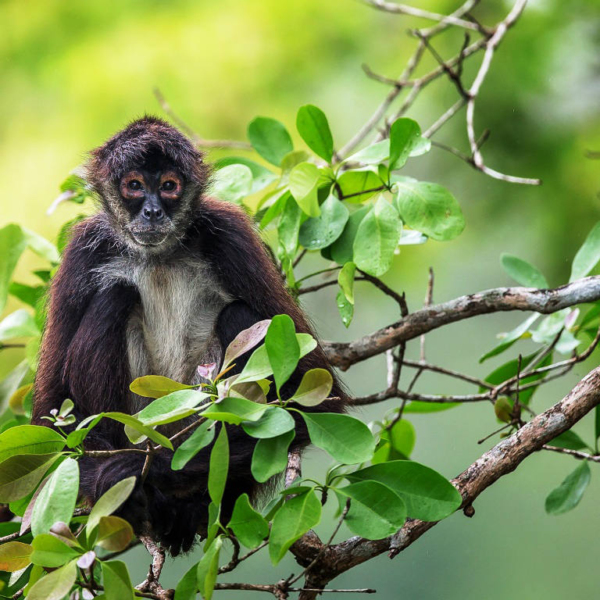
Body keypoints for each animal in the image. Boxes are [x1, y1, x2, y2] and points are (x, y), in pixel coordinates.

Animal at [32, 115, 350, 556]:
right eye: (134, 185)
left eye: (169, 185)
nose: (152, 211)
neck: (159, 257)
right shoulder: (83, 251)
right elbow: (50, 419)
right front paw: (116, 480)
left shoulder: (228, 232)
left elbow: (314, 405)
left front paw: (134, 471)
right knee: (115, 294)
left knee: (238, 313)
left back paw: (186, 505)